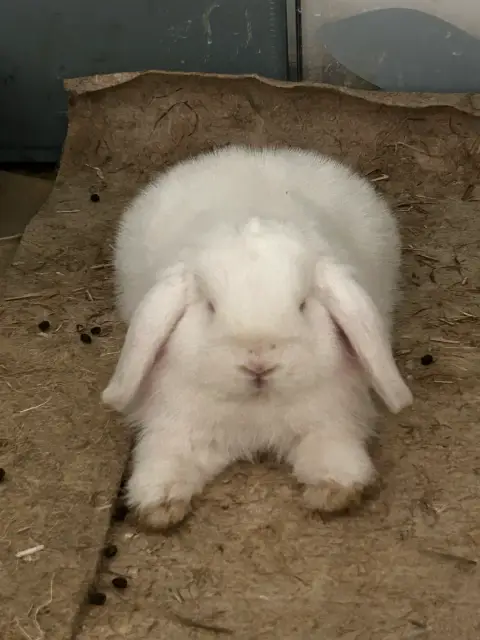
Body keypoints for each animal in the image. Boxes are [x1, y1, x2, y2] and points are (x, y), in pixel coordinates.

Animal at [102, 145, 412, 531]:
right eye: (210, 306)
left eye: (303, 304)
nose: (259, 364)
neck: (256, 407)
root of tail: (255, 154)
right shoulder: (176, 427)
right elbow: (167, 458)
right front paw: (158, 505)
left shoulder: (331, 421)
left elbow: (330, 452)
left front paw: (334, 492)